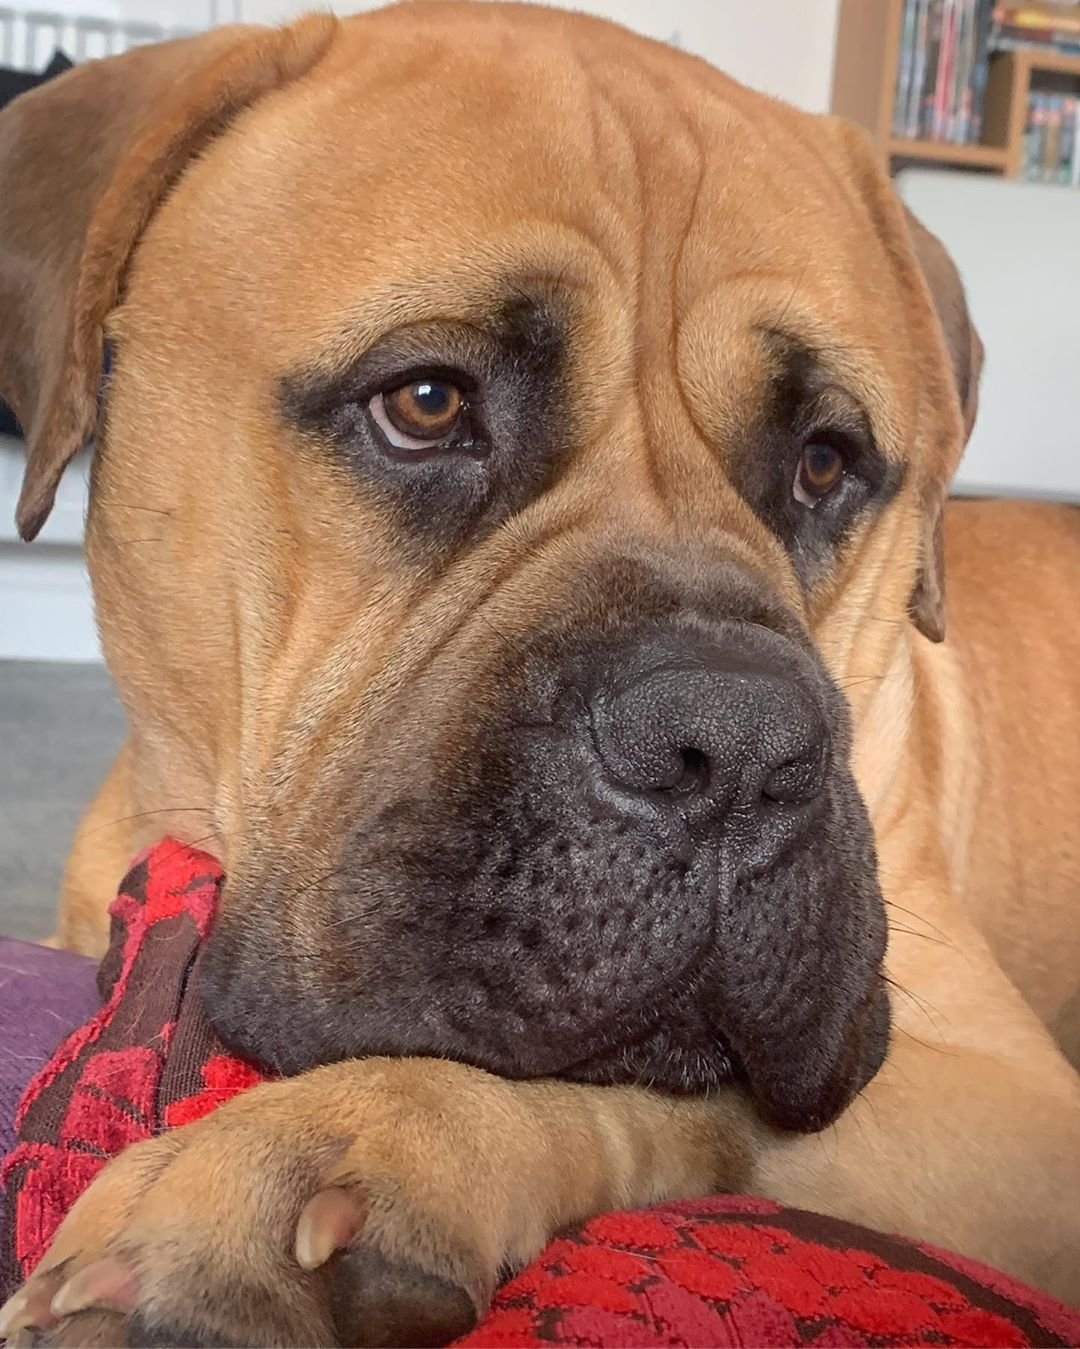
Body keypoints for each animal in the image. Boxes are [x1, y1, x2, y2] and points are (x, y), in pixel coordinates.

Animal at [0, 5, 1073, 1343]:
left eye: (827, 463)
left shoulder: (1015, 1106)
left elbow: (681, 1101)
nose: (737, 742)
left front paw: (351, 1149)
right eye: (424, 401)